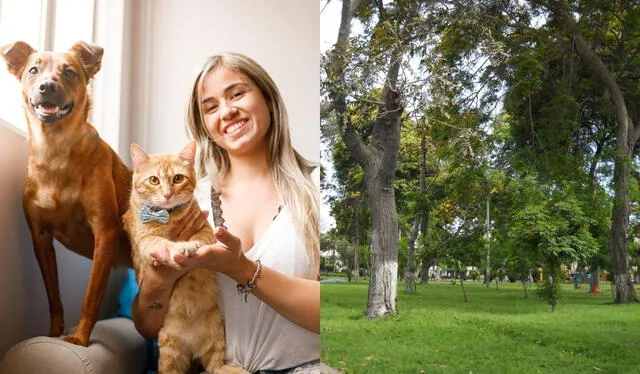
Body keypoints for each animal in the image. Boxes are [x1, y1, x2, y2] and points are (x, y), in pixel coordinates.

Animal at [1, 40, 133, 344]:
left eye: (70, 72)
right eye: (33, 70)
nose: (47, 87)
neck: (55, 151)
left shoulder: (105, 232)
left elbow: (91, 296)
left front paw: (79, 338)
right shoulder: (40, 238)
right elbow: (54, 297)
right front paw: (53, 334)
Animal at [124, 142, 249, 374]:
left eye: (178, 178)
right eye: (154, 180)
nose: (167, 194)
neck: (168, 216)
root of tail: (191, 344)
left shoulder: (205, 228)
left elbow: (200, 238)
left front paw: (191, 245)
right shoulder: (146, 240)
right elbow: (162, 244)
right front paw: (178, 248)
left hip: (216, 333)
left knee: (215, 365)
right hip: (170, 351)